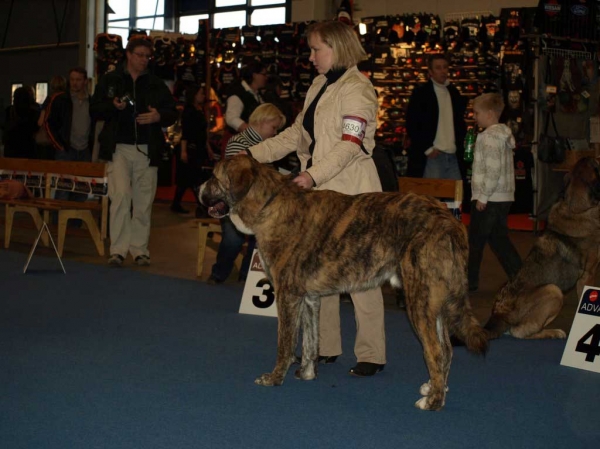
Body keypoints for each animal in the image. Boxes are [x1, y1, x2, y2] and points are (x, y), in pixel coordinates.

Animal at [199, 154, 490, 410]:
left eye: (213, 177)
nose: (198, 188)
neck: (268, 204)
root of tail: (448, 220)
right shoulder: (309, 298)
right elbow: (310, 341)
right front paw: (307, 372)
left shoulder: (287, 295)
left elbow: (285, 342)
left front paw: (274, 378)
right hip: (435, 300)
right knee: (447, 349)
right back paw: (434, 387)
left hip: (420, 299)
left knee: (435, 351)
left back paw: (433, 402)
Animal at [486, 158, 600, 340]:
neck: (575, 209)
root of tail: (499, 313)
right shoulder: (588, 275)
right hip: (554, 290)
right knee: (520, 332)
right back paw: (554, 332)